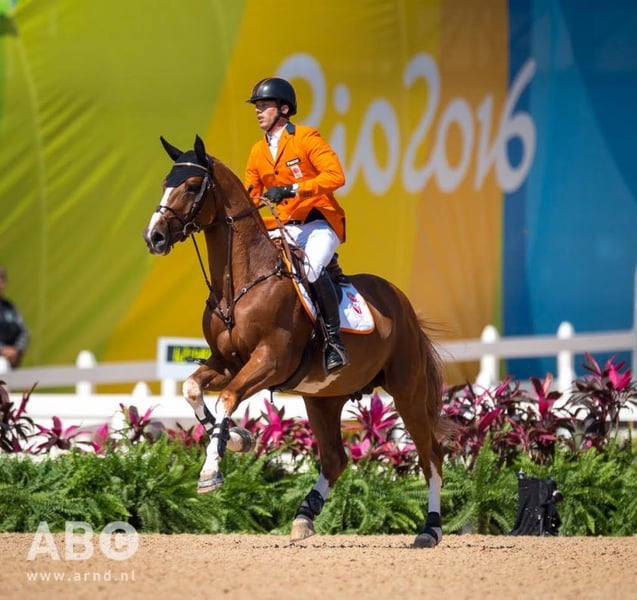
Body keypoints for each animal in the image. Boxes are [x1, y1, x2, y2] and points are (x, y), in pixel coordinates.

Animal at [143, 135, 446, 548]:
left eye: (191, 186)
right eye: (164, 184)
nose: (153, 237)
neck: (240, 282)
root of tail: (402, 303)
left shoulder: (270, 361)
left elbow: (226, 399)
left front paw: (211, 471)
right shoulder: (227, 363)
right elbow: (193, 389)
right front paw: (236, 439)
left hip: (407, 391)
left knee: (431, 456)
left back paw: (430, 529)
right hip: (324, 398)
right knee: (335, 459)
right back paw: (304, 516)